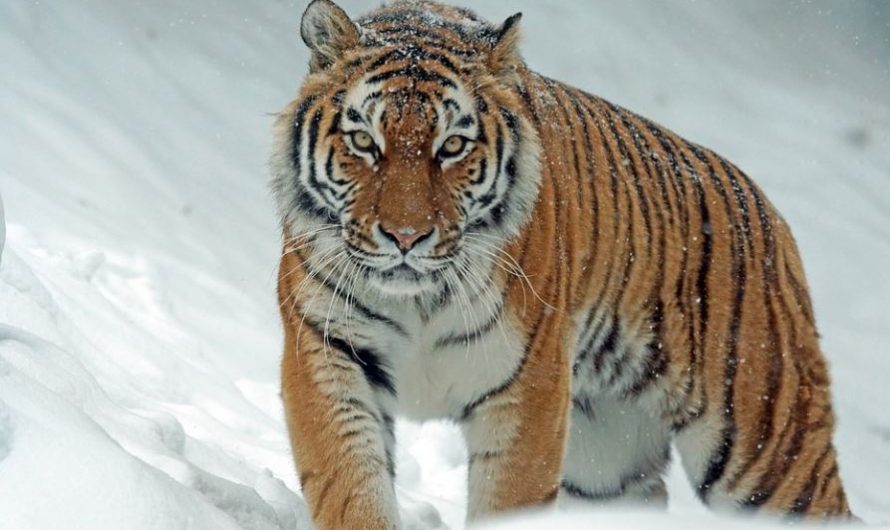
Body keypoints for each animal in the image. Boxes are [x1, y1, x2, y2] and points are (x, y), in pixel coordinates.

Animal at [270, 1, 854, 528]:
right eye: (363, 141)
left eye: (453, 146)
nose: (406, 237)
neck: (420, 300)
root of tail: (771, 215)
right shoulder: (328, 352)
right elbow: (350, 486)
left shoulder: (529, 388)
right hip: (606, 463)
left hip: (767, 449)